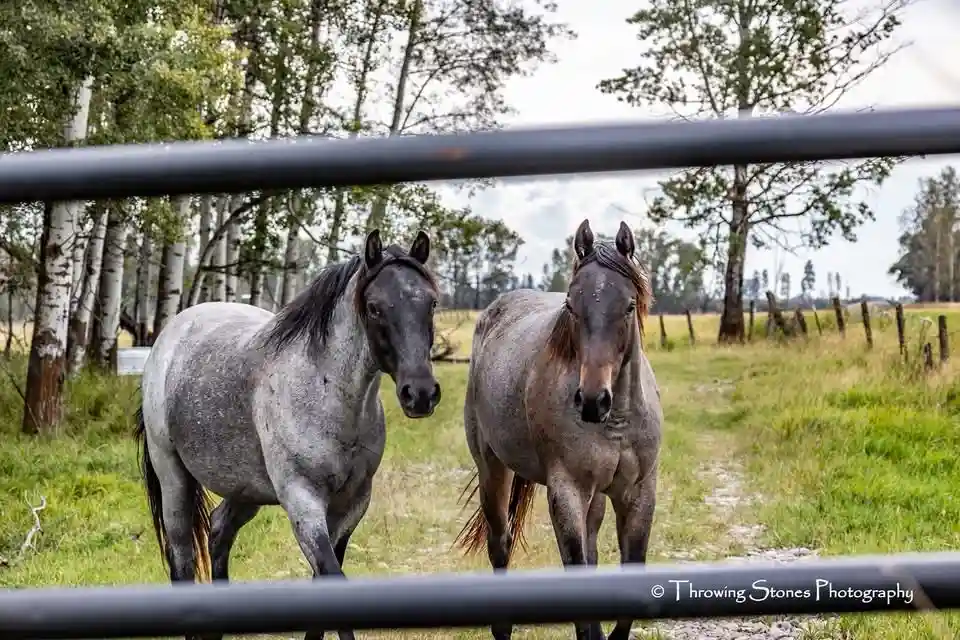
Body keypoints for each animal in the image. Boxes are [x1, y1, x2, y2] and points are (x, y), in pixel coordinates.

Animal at [134, 229, 442, 640]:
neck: (323, 391)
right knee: (182, 559)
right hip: (174, 480)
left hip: (245, 489)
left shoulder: (351, 504)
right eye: (375, 307)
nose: (420, 393)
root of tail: (167, 339)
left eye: (431, 303)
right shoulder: (302, 501)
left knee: (218, 531)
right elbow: (332, 580)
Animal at [454, 219, 662, 640]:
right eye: (571, 305)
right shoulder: (567, 492)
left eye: (629, 306)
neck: (617, 422)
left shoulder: (639, 492)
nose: (593, 400)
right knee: (499, 543)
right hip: (492, 470)